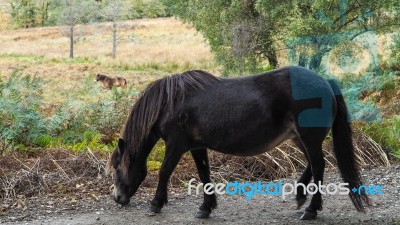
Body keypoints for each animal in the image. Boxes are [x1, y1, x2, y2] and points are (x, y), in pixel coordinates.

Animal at [108, 65, 368, 220]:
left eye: (117, 167)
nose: (117, 198)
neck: (170, 103)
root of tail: (326, 83)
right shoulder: (197, 147)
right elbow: (204, 175)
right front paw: (206, 207)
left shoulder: (176, 145)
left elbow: (164, 171)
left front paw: (156, 203)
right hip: (299, 139)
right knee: (313, 165)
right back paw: (300, 195)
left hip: (309, 138)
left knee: (319, 166)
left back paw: (311, 209)